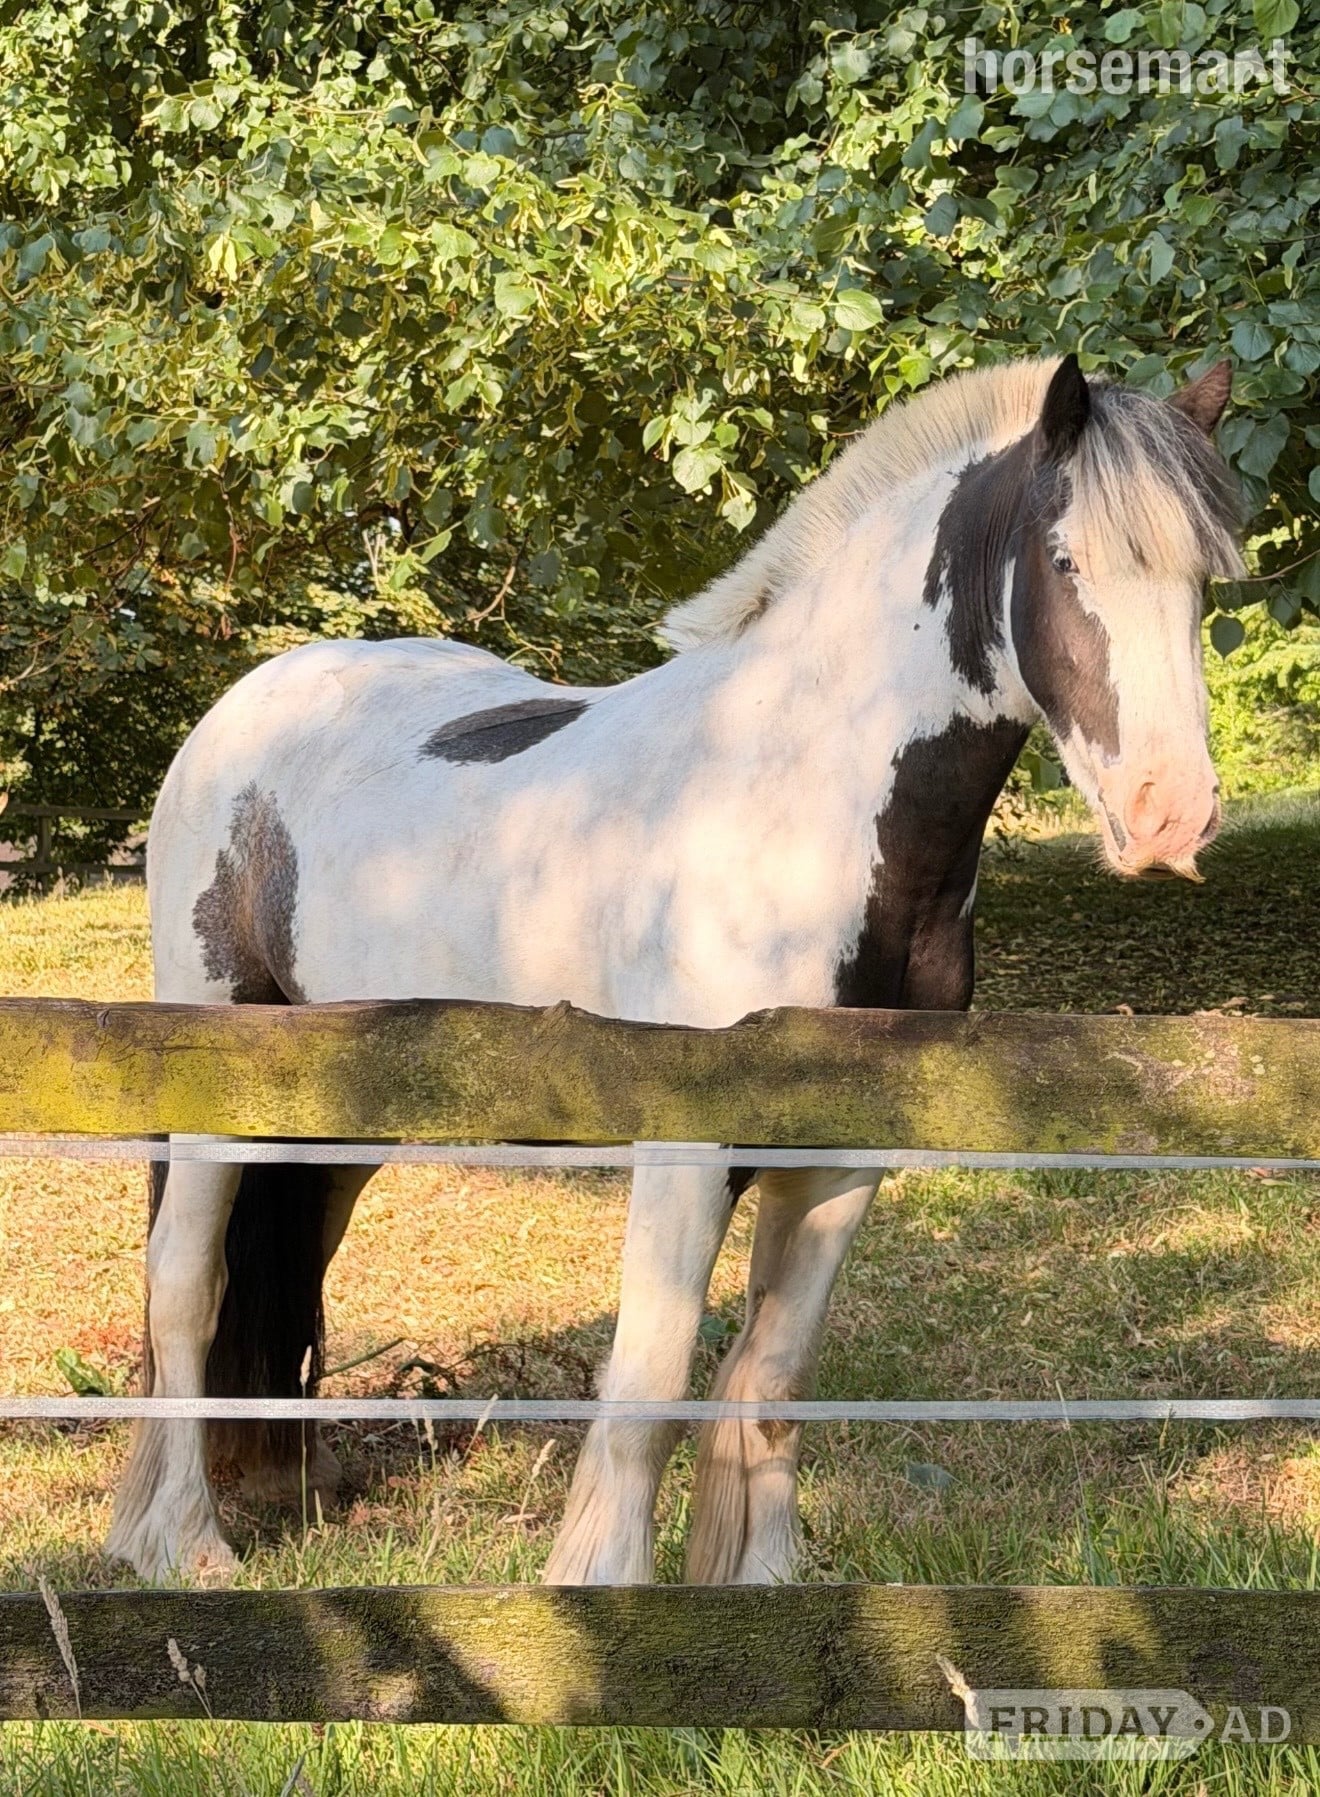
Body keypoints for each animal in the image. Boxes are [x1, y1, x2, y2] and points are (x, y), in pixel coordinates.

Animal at [107, 351, 1243, 1583]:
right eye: (1067, 560)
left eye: (1203, 584)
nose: (1171, 815)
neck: (794, 804)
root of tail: (242, 714)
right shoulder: (686, 1152)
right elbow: (651, 1381)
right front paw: (601, 1587)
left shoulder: (842, 1163)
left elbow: (773, 1381)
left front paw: (760, 1580)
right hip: (218, 1081)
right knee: (184, 1285)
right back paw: (182, 1543)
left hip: (339, 1110)